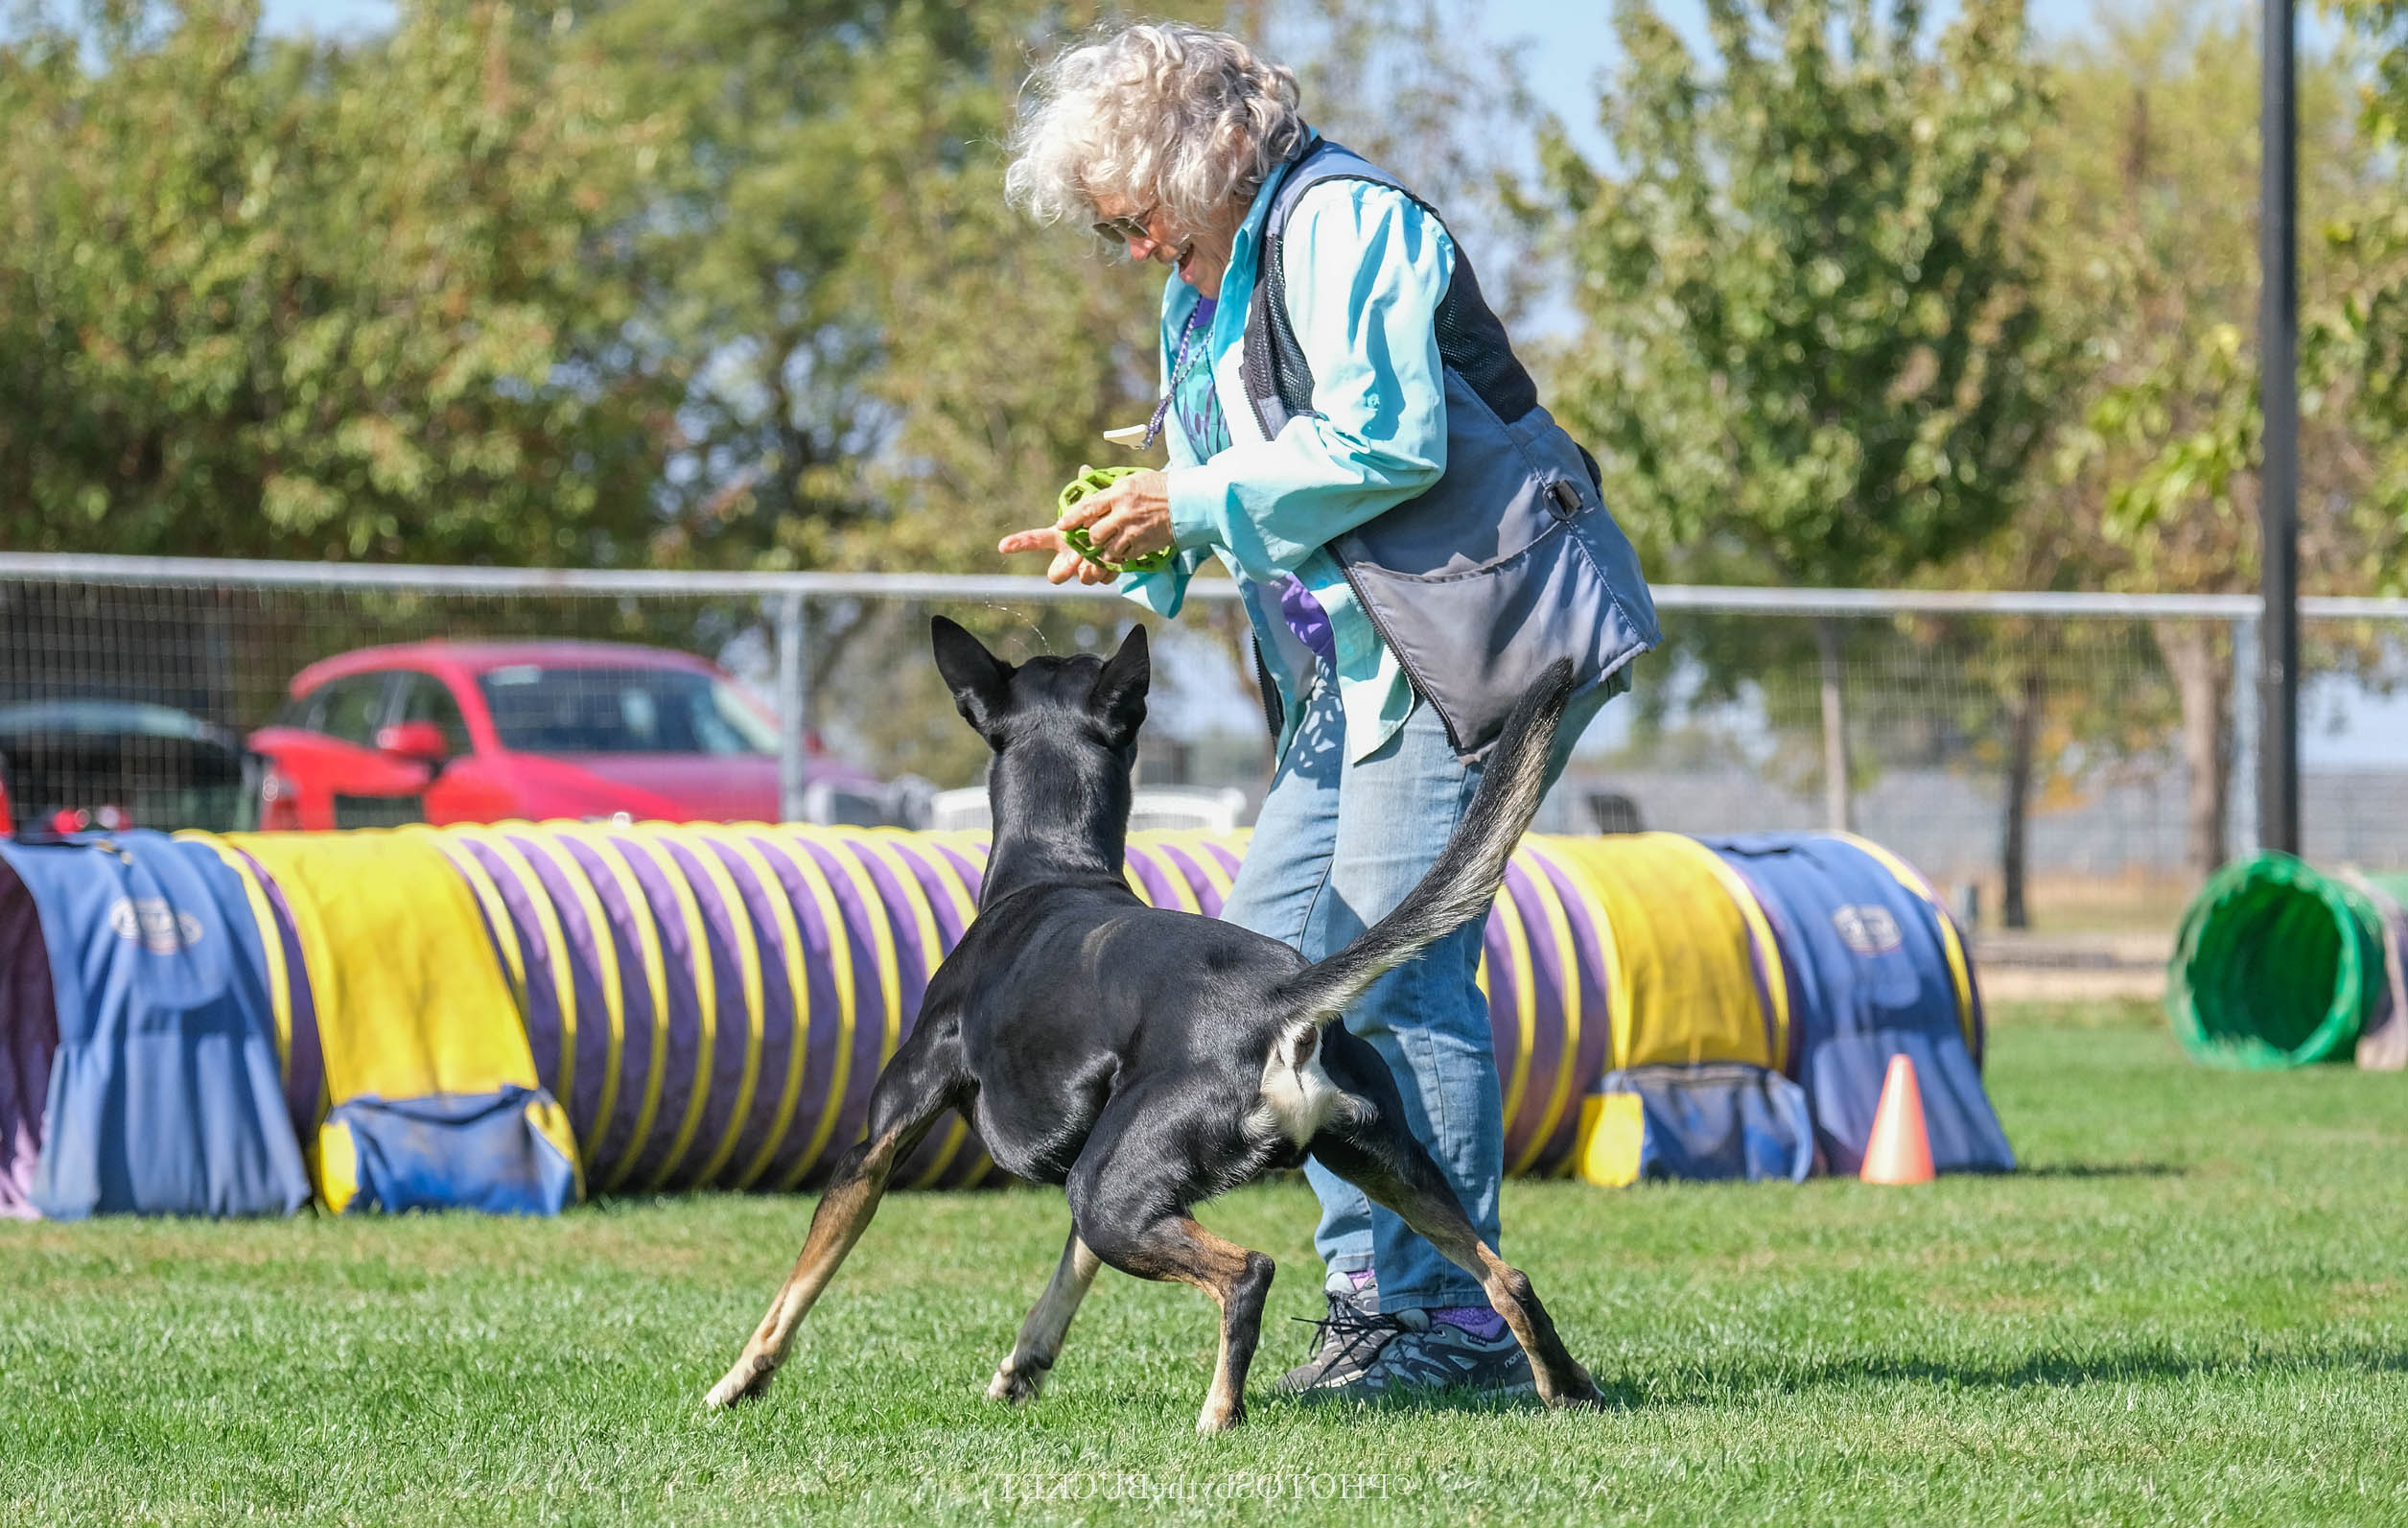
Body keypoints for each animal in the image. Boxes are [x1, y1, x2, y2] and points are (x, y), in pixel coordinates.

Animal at [703, 612, 1599, 1426]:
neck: (1054, 867)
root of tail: (1282, 1003)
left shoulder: (878, 1143)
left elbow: (800, 1282)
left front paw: (737, 1382)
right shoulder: (1093, 1157)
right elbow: (1063, 1282)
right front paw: (1020, 1371)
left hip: (1113, 1193)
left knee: (1248, 1272)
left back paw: (1219, 1414)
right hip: (1367, 1160)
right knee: (1506, 1277)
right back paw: (1568, 1391)